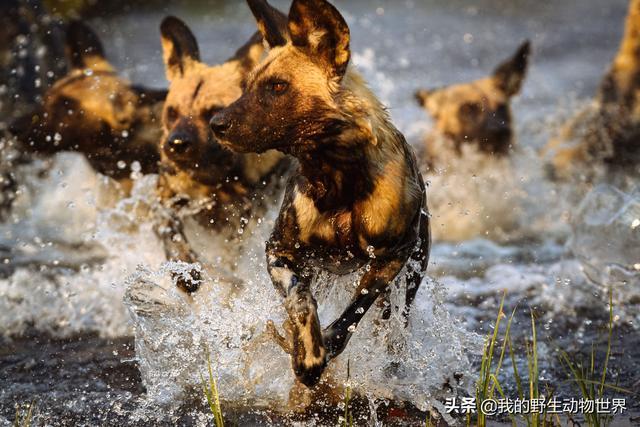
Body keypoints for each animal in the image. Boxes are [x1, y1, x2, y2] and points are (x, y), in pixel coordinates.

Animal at [154, 15, 288, 292]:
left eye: (213, 112)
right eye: (172, 113)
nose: (176, 144)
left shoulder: (245, 224)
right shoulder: (164, 203)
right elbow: (172, 235)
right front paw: (185, 270)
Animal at [210, 0, 430, 388]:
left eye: (278, 86)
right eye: (247, 86)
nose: (216, 124)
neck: (337, 180)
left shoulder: (391, 258)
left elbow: (352, 314)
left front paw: (325, 346)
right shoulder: (281, 252)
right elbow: (299, 299)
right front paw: (309, 352)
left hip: (407, 284)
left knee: (393, 328)